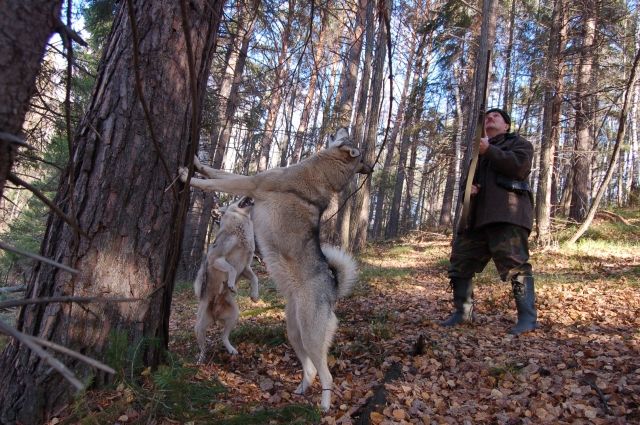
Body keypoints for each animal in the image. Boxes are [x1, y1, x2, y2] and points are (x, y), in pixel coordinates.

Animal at [192, 195, 260, 362]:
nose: (249, 194)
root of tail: (215, 316)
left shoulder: (246, 267)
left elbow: (255, 278)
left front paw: (254, 296)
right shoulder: (215, 258)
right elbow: (231, 269)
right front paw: (230, 284)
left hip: (234, 317)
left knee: (223, 337)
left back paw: (231, 350)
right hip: (199, 327)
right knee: (203, 347)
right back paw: (201, 360)